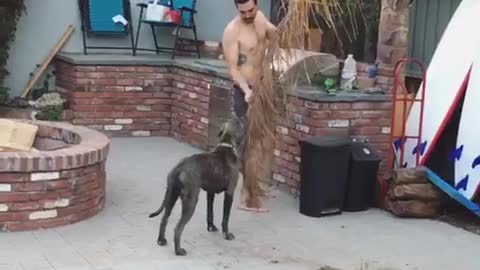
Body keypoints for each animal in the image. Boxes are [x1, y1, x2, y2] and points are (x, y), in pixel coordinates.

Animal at [149, 115, 248, 255]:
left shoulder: (210, 193)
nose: (241, 116)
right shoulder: (230, 192)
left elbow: (210, 213)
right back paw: (178, 250)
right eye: (239, 123)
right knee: (177, 228)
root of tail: (179, 167)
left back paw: (161, 240)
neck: (227, 144)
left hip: (170, 197)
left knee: (164, 219)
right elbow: (225, 217)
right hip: (191, 201)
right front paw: (227, 234)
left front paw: (211, 227)